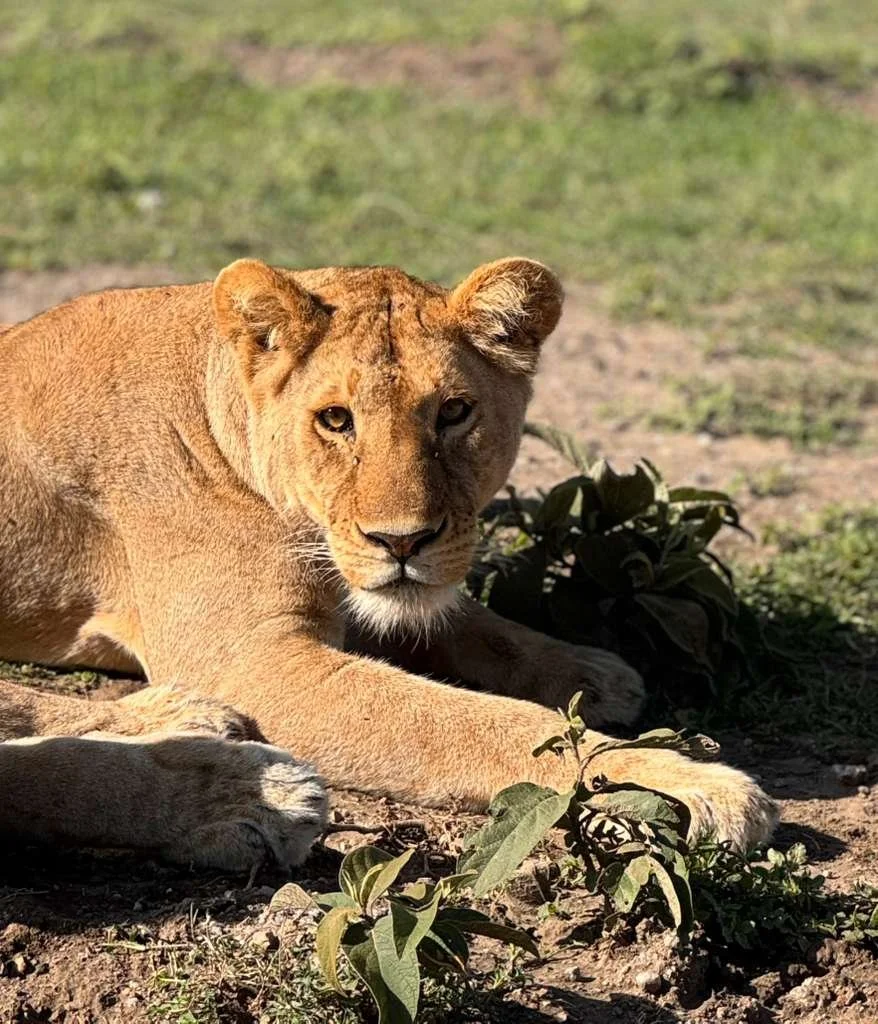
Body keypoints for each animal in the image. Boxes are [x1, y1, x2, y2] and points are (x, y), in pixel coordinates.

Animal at [0, 257, 777, 873]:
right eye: (335, 419)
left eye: (455, 412)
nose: (402, 542)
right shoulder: (256, 663)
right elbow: (484, 724)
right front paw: (677, 779)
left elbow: (477, 625)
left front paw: (593, 673)